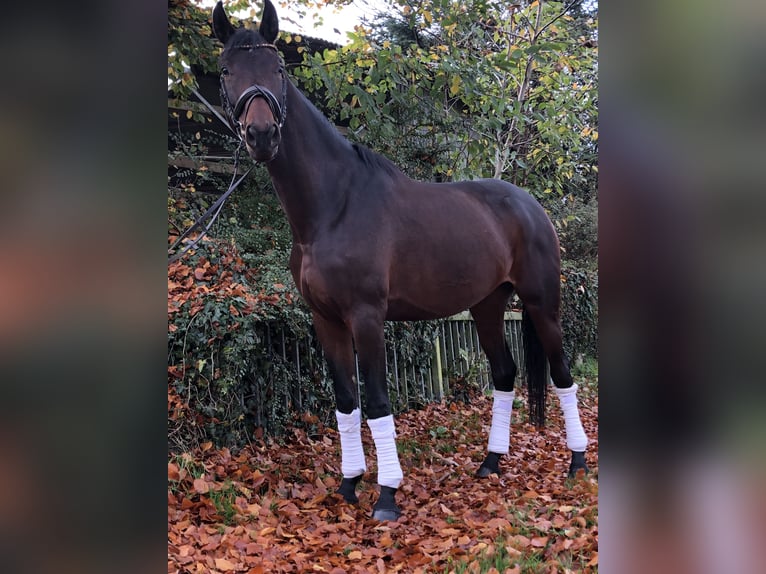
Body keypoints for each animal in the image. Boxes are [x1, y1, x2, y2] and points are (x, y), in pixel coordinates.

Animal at [210, 0, 588, 520]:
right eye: (227, 70)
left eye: (279, 69)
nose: (262, 135)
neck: (334, 206)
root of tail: (531, 205)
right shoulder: (326, 320)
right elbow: (346, 404)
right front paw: (349, 484)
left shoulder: (367, 317)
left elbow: (376, 402)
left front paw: (387, 495)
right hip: (488, 305)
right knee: (505, 374)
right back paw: (491, 462)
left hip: (541, 303)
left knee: (563, 376)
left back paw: (576, 463)